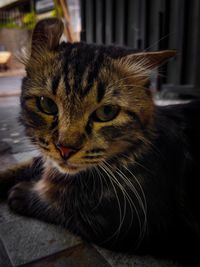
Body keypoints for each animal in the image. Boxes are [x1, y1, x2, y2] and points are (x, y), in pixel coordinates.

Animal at [0, 17, 199, 266]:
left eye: (106, 112)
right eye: (47, 104)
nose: (65, 148)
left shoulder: (131, 227)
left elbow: (61, 207)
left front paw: (22, 193)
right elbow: (21, 166)